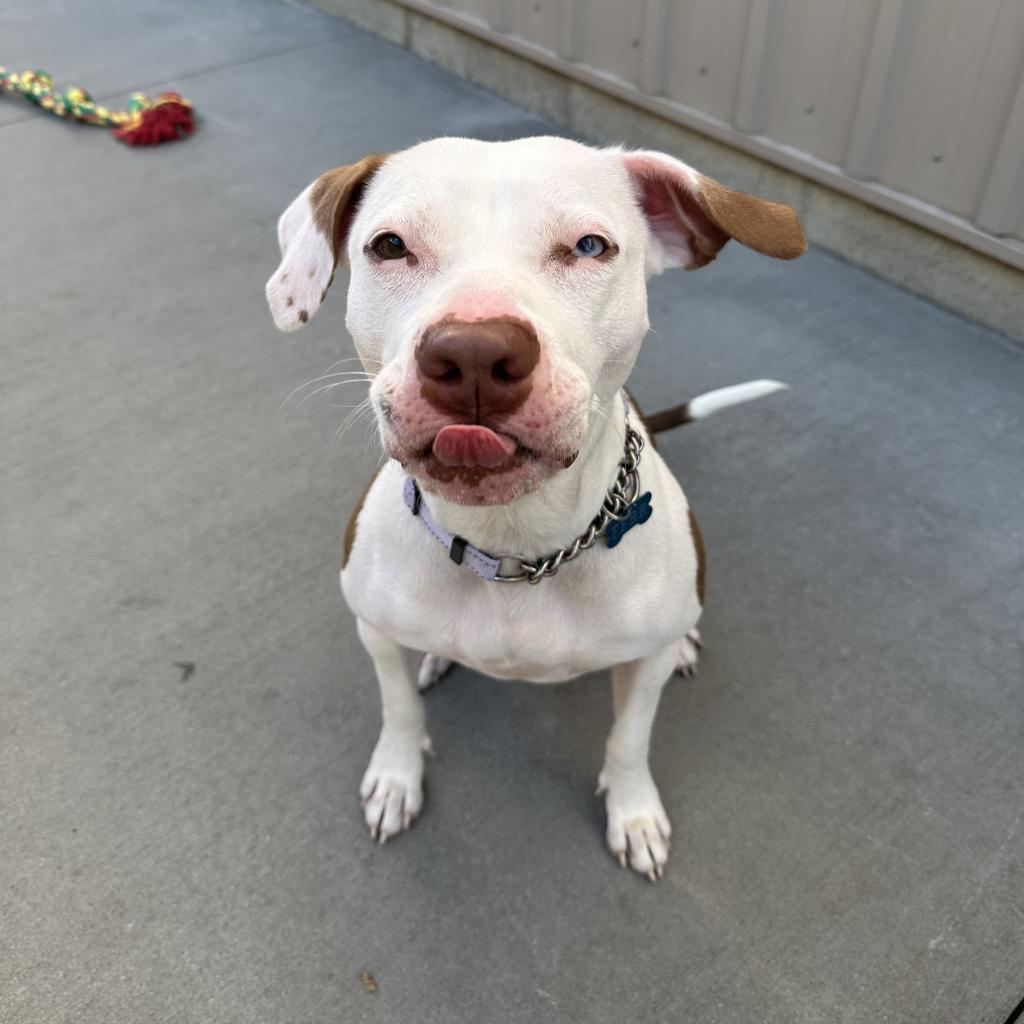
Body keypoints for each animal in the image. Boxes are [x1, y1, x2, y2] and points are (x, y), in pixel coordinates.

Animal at [266, 134, 806, 880]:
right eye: (389, 245)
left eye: (588, 246)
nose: (473, 352)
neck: (515, 546)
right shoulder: (374, 628)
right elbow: (398, 708)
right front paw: (397, 778)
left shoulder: (640, 675)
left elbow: (629, 740)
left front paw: (634, 813)